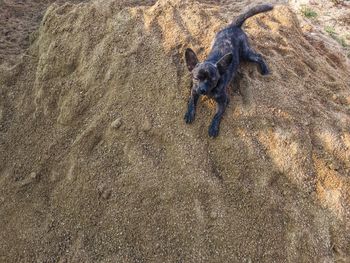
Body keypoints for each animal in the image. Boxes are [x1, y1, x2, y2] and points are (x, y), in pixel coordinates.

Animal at [183, 4, 274, 138]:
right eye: (196, 78)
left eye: (213, 80)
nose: (202, 90)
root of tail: (233, 26)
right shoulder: (194, 90)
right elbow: (191, 101)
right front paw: (190, 113)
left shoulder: (224, 100)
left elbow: (217, 114)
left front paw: (213, 127)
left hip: (246, 53)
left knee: (259, 56)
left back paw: (265, 70)